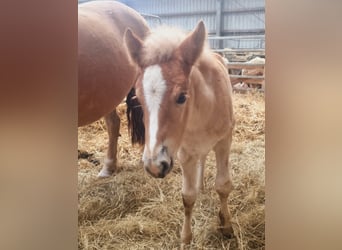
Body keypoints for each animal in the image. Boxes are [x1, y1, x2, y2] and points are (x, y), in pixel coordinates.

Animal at [125, 21, 235, 244]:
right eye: (137, 98)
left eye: (182, 97)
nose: (154, 166)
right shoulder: (185, 152)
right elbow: (188, 196)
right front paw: (186, 237)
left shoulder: (224, 141)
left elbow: (223, 185)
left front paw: (226, 225)